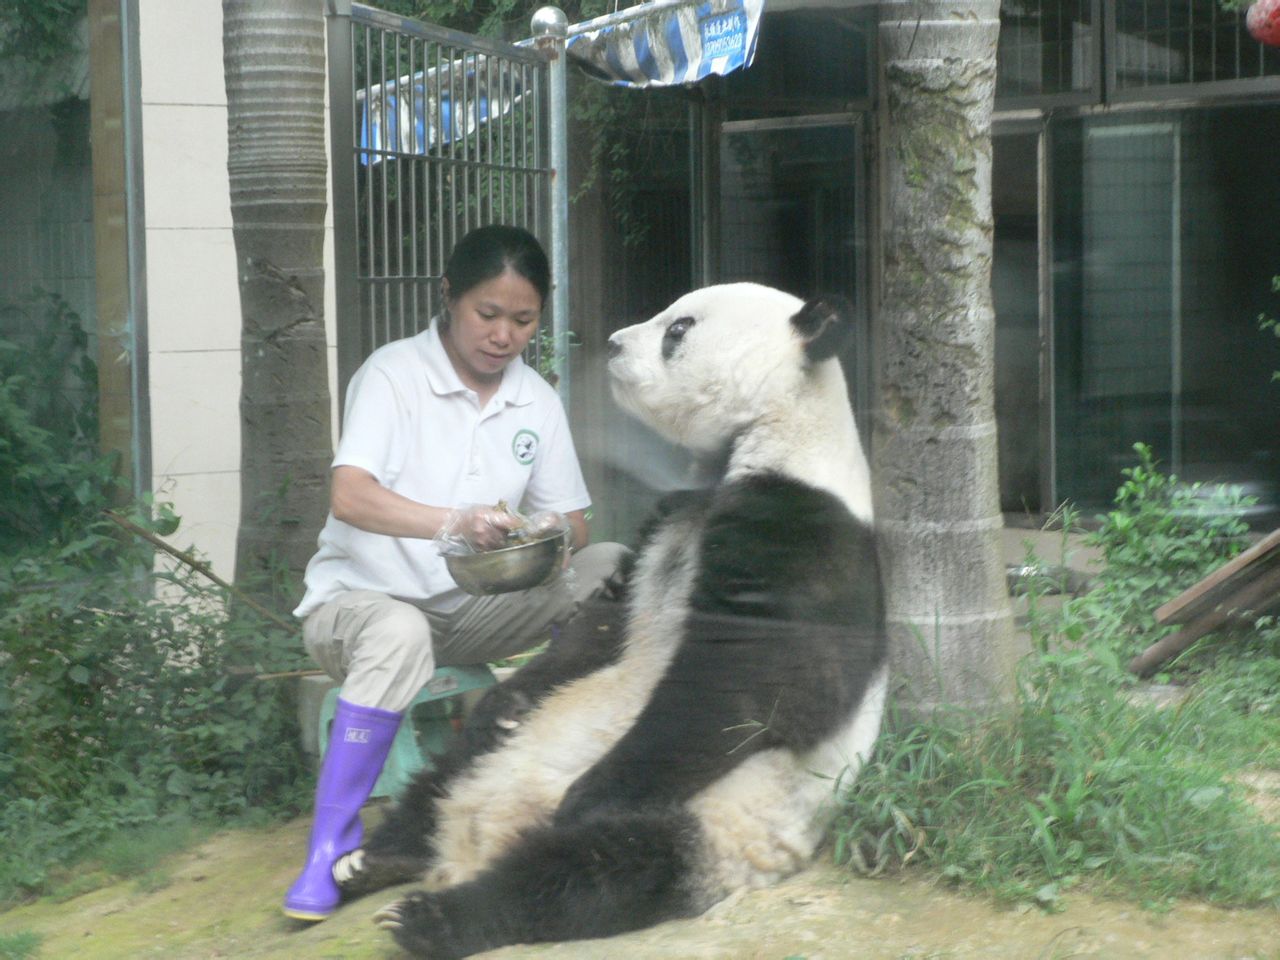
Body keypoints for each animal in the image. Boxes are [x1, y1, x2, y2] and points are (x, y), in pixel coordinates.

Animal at [335, 281, 885, 957]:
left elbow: (758, 683)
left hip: (720, 818)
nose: (616, 344)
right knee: (451, 766)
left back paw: (437, 914)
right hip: (523, 746)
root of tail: (475, 840)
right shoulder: (671, 512)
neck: (765, 432)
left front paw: (589, 794)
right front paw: (522, 689)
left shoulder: (806, 537)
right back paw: (376, 859)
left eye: (678, 328)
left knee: (596, 871)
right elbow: (607, 618)